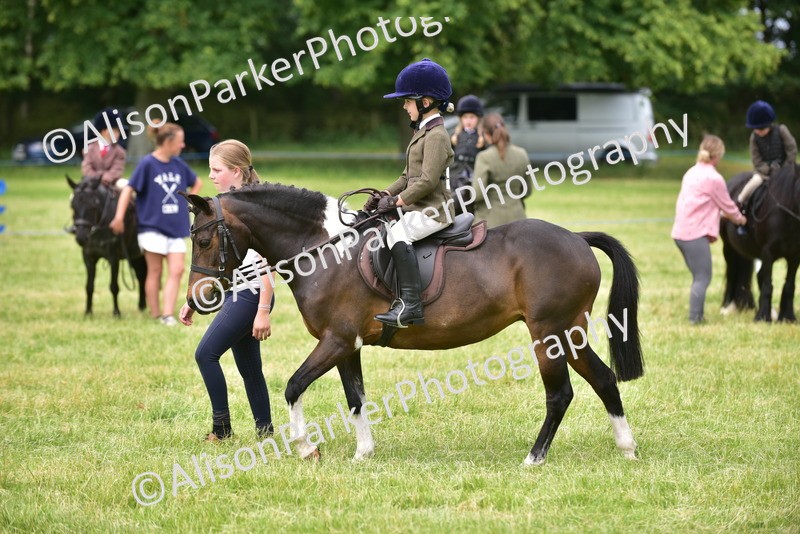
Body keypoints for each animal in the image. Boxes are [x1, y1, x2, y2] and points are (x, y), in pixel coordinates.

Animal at [67, 176, 147, 316]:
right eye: (73, 206)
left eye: (93, 205)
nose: (81, 237)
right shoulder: (88, 257)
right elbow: (89, 286)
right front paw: (88, 312)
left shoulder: (114, 258)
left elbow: (114, 286)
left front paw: (116, 312)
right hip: (135, 255)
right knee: (141, 275)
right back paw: (141, 305)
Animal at [182, 183, 644, 465]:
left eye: (203, 240)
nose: (196, 300)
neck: (324, 250)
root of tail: (577, 238)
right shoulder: (347, 345)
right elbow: (356, 398)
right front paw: (363, 453)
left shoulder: (335, 340)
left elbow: (294, 386)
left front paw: (305, 447)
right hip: (570, 333)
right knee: (604, 379)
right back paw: (627, 448)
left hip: (548, 334)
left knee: (560, 394)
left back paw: (534, 458)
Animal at [720, 164, 800, 322]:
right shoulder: (768, 253)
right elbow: (767, 285)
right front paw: (763, 316)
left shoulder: (794, 256)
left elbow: (789, 285)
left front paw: (787, 317)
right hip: (729, 247)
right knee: (732, 273)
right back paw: (728, 307)